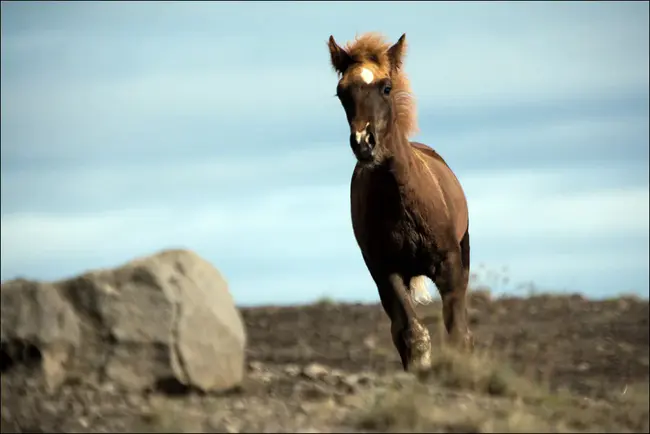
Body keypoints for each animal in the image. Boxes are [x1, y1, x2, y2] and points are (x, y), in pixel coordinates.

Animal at [326, 33, 474, 372]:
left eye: (386, 87)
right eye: (341, 92)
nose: (364, 144)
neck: (401, 202)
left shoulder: (449, 266)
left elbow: (457, 333)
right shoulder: (386, 271)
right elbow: (412, 333)